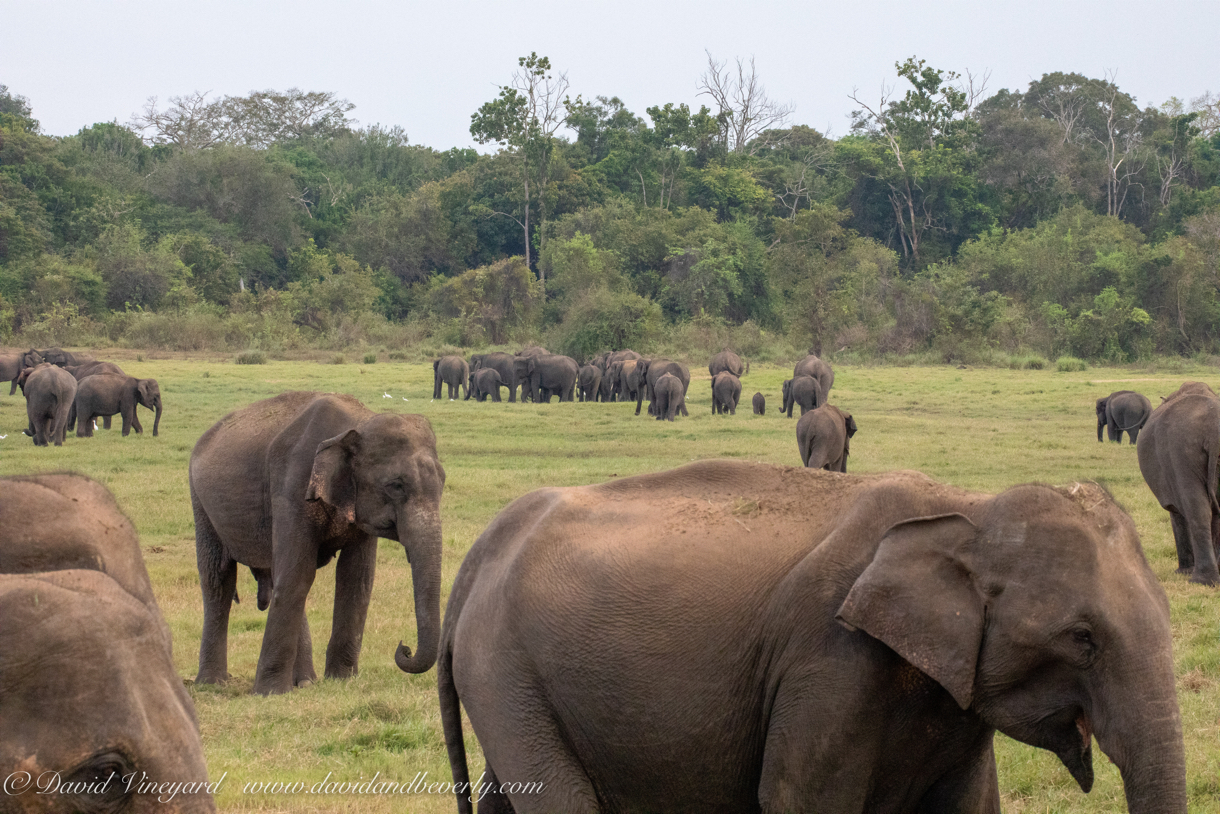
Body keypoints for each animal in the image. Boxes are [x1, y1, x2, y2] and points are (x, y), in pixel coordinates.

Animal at [195, 392, 448, 693]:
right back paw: (212, 684)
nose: (404, 648)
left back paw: (305, 681)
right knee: (218, 580)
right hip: (201, 506)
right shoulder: (292, 487)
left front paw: (341, 679)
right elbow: (299, 575)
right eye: (396, 486)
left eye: (443, 482)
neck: (357, 423)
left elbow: (357, 578)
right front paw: (269, 692)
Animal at [436, 461, 1180, 814]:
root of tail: (477, 553)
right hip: (504, 672)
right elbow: (802, 801)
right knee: (559, 803)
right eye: (1083, 638)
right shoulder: (830, 661)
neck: (968, 507)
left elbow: (968, 808)